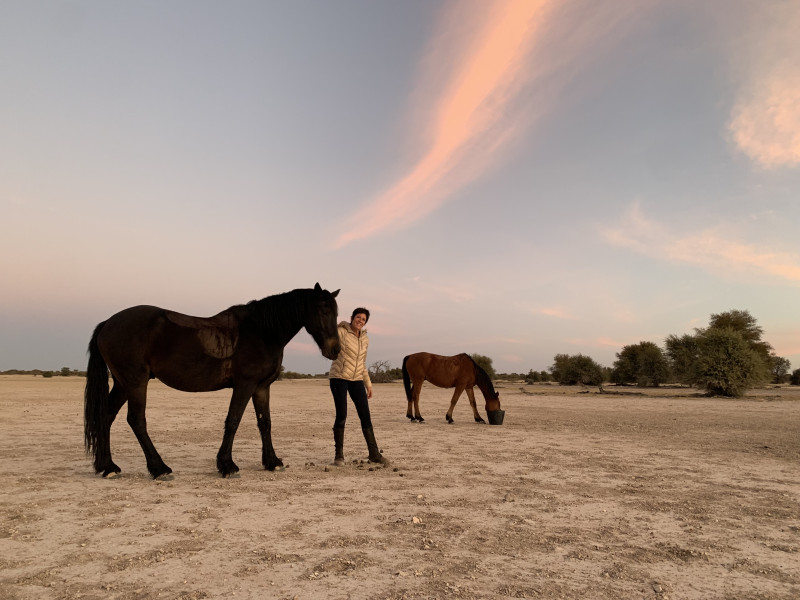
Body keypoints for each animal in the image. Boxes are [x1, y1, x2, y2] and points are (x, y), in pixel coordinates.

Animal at [83, 284, 340, 480]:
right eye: (323, 310)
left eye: (336, 313)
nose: (335, 349)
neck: (261, 332)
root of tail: (108, 323)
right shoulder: (244, 385)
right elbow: (233, 421)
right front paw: (227, 465)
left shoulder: (261, 388)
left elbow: (265, 423)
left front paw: (272, 462)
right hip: (135, 382)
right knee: (136, 420)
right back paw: (159, 468)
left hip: (122, 384)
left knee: (106, 416)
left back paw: (108, 467)